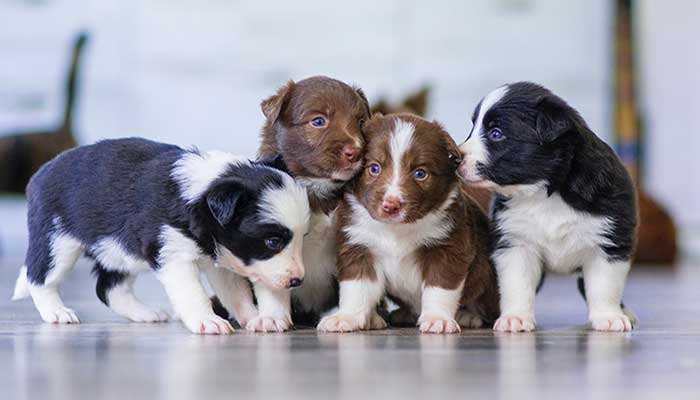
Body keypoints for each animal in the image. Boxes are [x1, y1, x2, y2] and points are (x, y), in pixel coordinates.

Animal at [11, 138, 308, 334]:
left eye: (302, 237)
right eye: (273, 242)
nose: (297, 281)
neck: (202, 195)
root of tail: (39, 174)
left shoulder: (223, 259)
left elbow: (236, 293)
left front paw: (257, 318)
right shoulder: (173, 255)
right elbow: (193, 293)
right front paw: (207, 321)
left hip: (117, 250)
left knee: (109, 288)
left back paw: (145, 313)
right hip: (57, 240)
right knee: (40, 278)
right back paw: (57, 312)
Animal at [318, 113, 498, 334]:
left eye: (420, 173)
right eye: (374, 168)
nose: (391, 206)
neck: (396, 229)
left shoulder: (448, 247)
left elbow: (439, 288)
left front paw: (437, 318)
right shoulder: (358, 246)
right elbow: (356, 286)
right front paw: (346, 317)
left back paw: (468, 316)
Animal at [460, 81, 640, 332]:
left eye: (496, 133)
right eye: (473, 128)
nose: (455, 157)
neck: (544, 193)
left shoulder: (608, 241)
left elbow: (604, 286)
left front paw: (608, 317)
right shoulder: (516, 243)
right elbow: (516, 284)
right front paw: (515, 317)